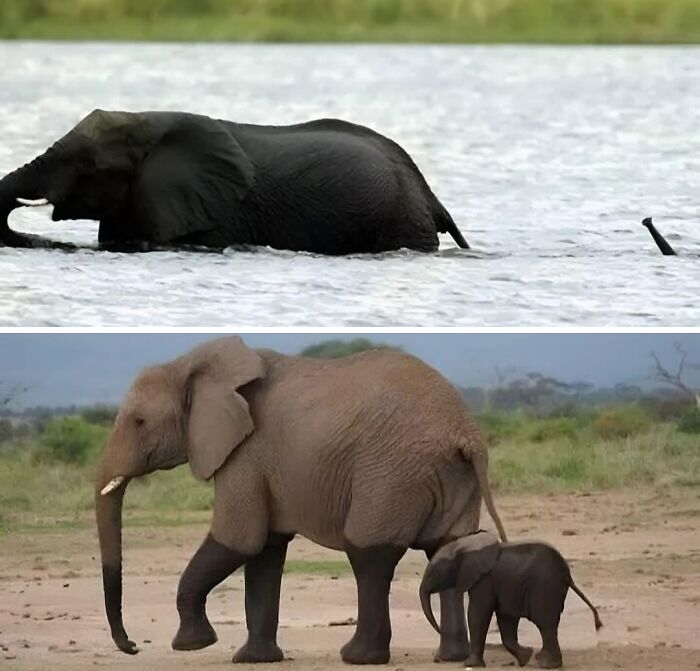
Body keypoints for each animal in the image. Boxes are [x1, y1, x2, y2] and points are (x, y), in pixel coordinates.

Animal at [95, 336, 507, 665]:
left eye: (139, 422)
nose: (132, 646)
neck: (191, 365)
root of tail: (465, 432)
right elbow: (265, 551)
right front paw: (253, 659)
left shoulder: (246, 453)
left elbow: (239, 540)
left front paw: (192, 645)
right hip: (448, 475)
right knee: (447, 548)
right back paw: (450, 657)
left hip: (391, 473)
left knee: (369, 554)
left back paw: (358, 657)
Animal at [419, 531, 602, 669]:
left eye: (436, 573)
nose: (436, 657)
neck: (464, 545)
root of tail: (567, 575)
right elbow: (505, 618)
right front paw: (525, 657)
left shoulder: (484, 579)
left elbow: (478, 613)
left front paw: (470, 665)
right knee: (548, 625)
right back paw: (541, 661)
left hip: (545, 586)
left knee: (545, 624)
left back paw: (546, 664)